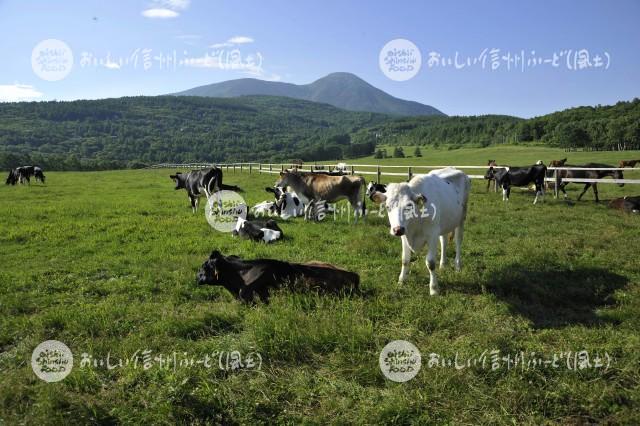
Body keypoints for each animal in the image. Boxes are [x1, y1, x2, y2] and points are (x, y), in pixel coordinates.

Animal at [376, 167, 470, 296]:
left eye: (409, 205)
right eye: (387, 207)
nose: (397, 229)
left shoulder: (432, 235)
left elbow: (430, 263)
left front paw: (434, 289)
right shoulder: (405, 236)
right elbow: (405, 260)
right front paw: (401, 281)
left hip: (461, 219)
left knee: (458, 241)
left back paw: (457, 266)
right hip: (444, 224)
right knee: (444, 241)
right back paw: (443, 265)